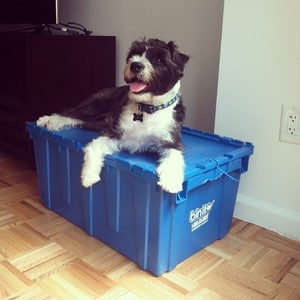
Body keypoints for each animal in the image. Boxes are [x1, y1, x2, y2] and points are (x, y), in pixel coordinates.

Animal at [36, 37, 189, 193]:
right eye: (135, 54)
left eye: (158, 59)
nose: (135, 65)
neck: (147, 108)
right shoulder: (114, 133)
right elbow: (94, 147)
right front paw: (88, 176)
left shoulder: (171, 140)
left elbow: (174, 155)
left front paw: (171, 182)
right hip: (96, 106)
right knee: (71, 113)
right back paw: (49, 120)